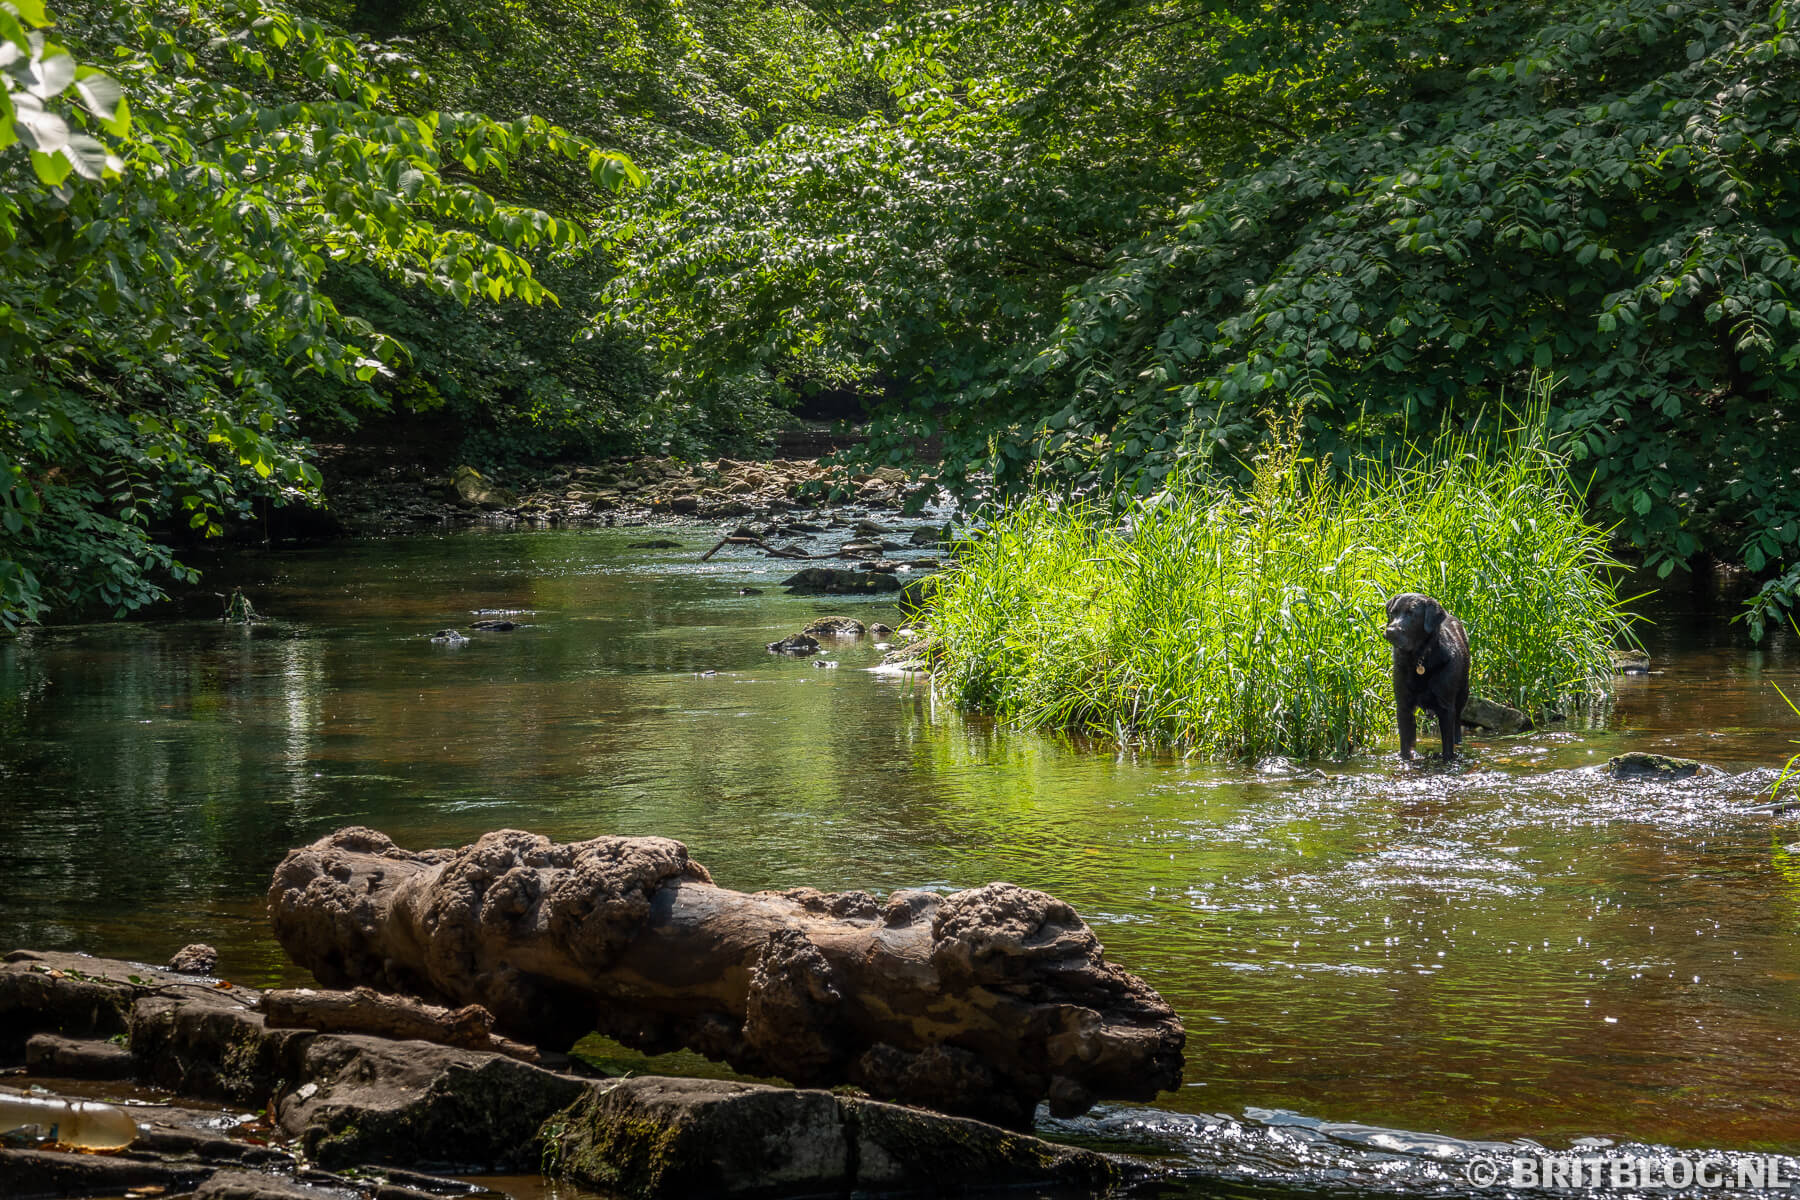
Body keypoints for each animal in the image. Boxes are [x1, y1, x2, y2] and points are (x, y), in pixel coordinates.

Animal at [1382, 590, 1468, 759]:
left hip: (1462, 694)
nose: (1390, 631)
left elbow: (1447, 747)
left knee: (1457, 725)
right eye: (1393, 612)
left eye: (1411, 613)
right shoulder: (1403, 706)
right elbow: (1405, 745)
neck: (1418, 659)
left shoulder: (1446, 707)